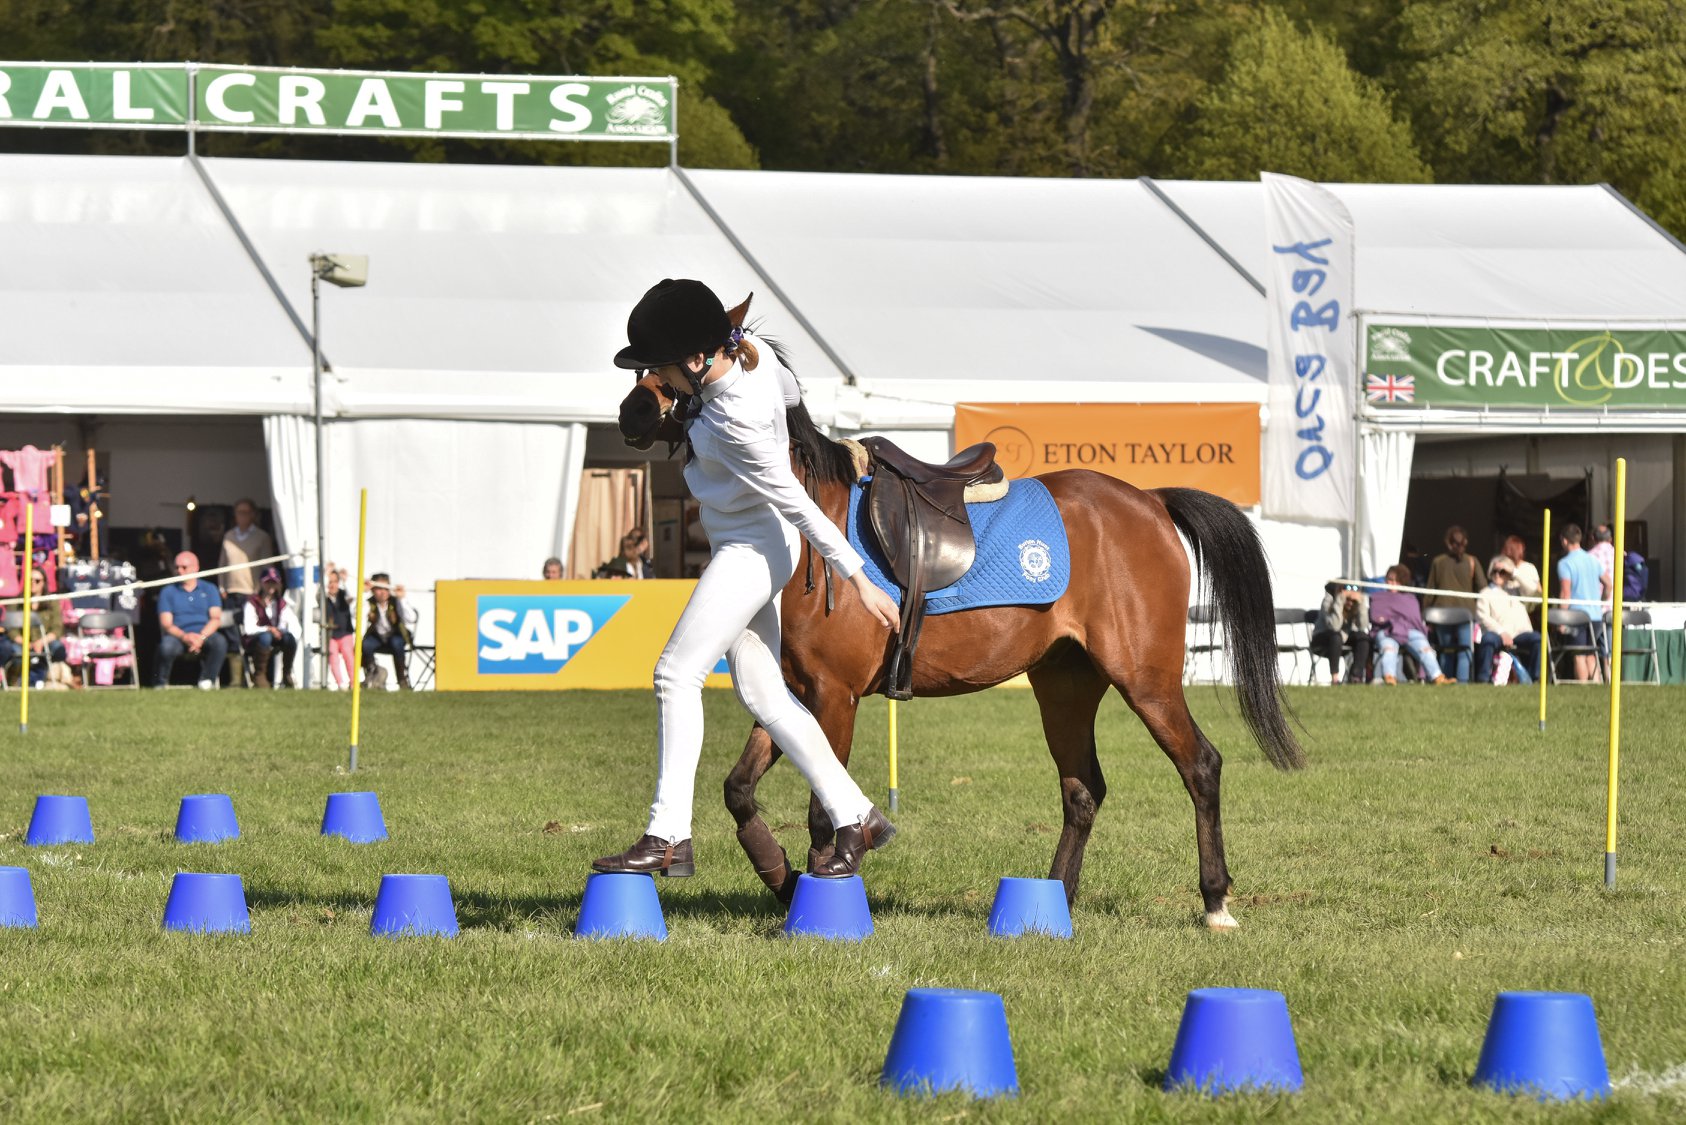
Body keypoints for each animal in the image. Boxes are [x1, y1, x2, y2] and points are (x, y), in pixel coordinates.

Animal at [616, 327, 1303, 931]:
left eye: (689, 360)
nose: (632, 408)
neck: (812, 531)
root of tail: (1150, 501)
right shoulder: (797, 693)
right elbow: (740, 789)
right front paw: (784, 881)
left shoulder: (836, 696)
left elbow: (822, 810)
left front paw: (820, 895)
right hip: (1065, 684)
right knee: (1083, 790)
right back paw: (1053, 904)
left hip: (1145, 678)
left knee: (1201, 766)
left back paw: (1214, 901)